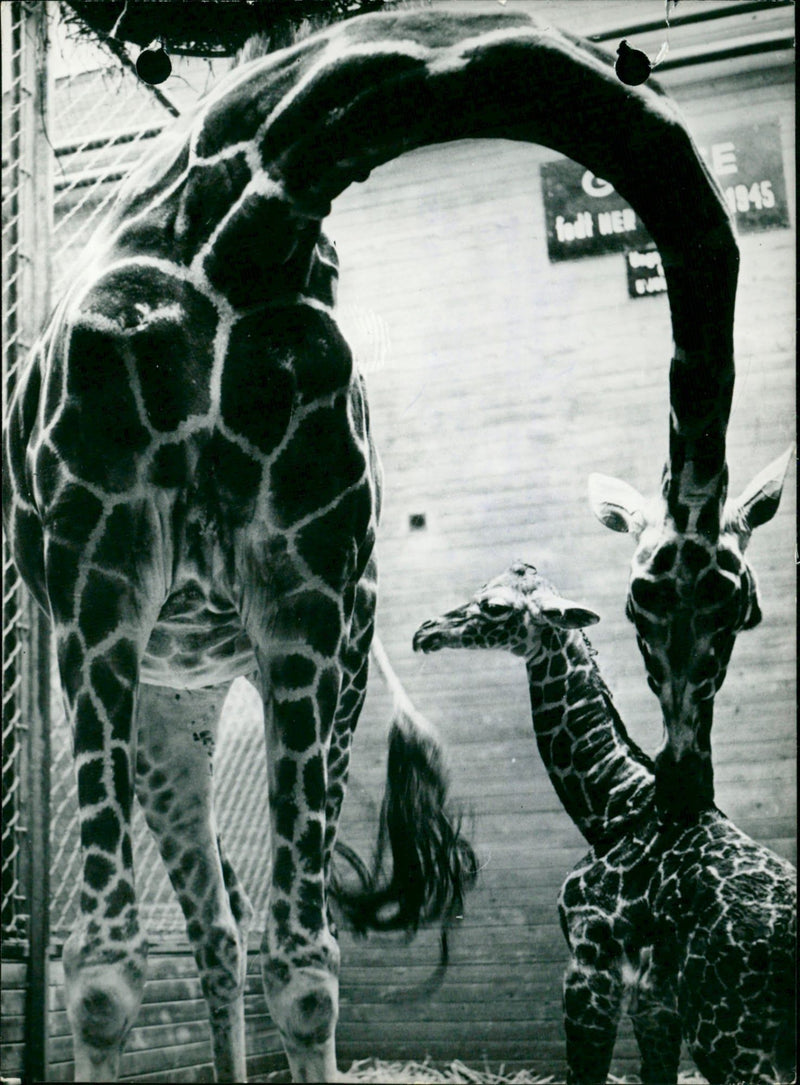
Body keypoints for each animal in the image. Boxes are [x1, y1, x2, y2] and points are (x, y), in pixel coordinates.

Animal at [3, 8, 743, 1081]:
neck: (241, 233)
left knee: (235, 930)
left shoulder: (303, 593)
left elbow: (306, 965)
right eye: (649, 602)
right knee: (209, 929)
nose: (687, 783)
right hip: (154, 695)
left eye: (740, 608)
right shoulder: (97, 573)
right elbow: (100, 970)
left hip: (288, 688)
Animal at [413, 560, 796, 1085]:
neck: (613, 806)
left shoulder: (589, 968)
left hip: (727, 1031)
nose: (424, 632)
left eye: (493, 605)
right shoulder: (654, 1000)